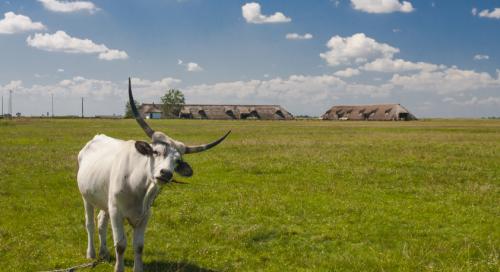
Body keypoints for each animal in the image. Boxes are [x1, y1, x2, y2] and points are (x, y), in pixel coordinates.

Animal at [76, 77, 230, 270]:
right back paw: (91, 253)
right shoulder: (117, 212)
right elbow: (120, 245)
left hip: (104, 200)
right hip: (86, 197)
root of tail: (97, 137)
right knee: (89, 223)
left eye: (177, 161)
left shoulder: (144, 216)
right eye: (156, 152)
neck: (137, 186)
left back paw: (104, 253)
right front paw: (119, 267)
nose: (165, 173)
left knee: (101, 222)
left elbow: (139, 246)